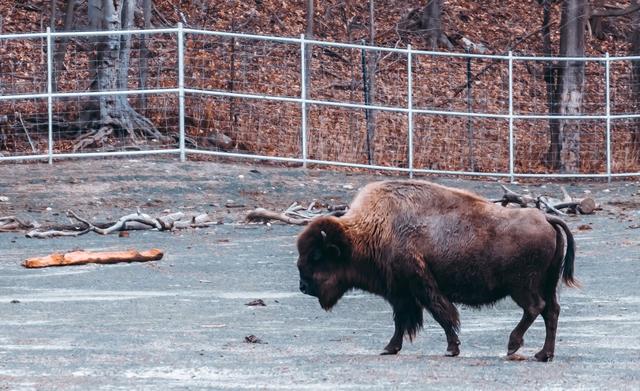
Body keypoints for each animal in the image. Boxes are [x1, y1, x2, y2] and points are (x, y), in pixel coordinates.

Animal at [298, 180, 576, 362]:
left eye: (317, 256)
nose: (303, 286)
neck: (369, 231)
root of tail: (546, 218)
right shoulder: (401, 293)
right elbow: (402, 321)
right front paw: (390, 348)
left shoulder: (419, 286)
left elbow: (441, 314)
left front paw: (452, 348)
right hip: (547, 283)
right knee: (551, 311)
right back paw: (543, 354)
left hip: (522, 286)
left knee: (535, 308)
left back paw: (512, 346)